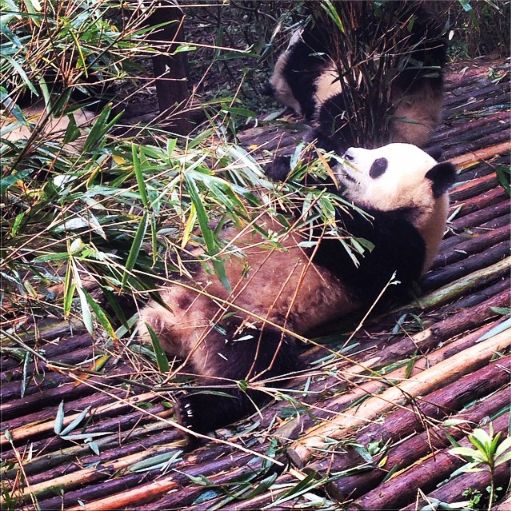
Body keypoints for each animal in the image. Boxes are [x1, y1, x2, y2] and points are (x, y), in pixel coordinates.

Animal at [137, 143, 456, 436]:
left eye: (380, 164)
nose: (347, 153)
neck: (415, 211)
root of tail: (178, 323)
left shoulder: (400, 248)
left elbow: (345, 238)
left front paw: (298, 178)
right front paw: (289, 165)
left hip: (241, 320)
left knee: (251, 366)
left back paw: (196, 409)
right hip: (192, 270)